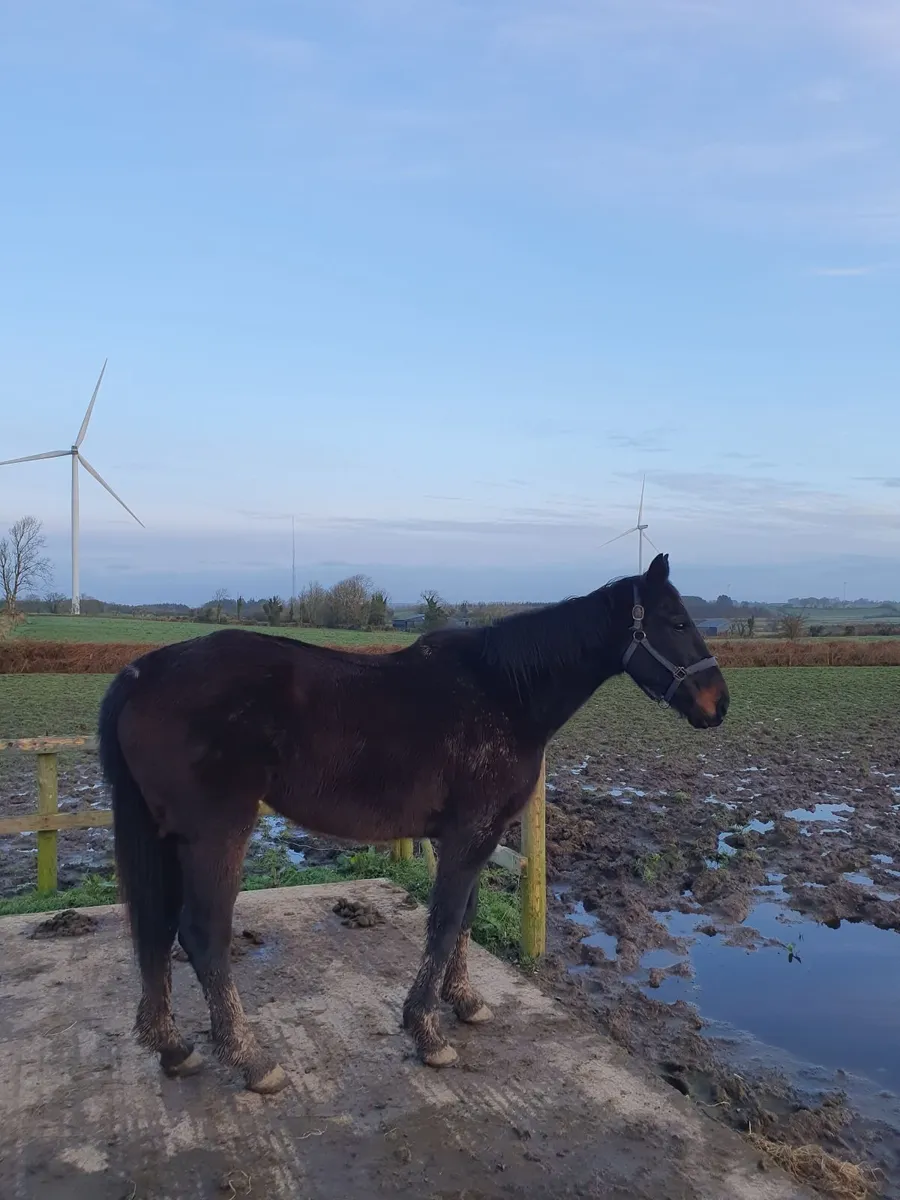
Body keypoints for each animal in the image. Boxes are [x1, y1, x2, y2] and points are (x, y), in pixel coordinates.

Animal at [98, 553, 728, 1094]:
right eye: (675, 621)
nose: (718, 704)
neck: (505, 692)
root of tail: (142, 671)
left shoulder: (471, 837)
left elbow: (465, 918)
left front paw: (465, 1002)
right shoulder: (472, 834)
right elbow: (445, 922)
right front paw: (426, 1031)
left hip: (167, 836)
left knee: (158, 930)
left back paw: (174, 1048)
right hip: (216, 835)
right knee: (202, 934)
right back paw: (251, 1060)